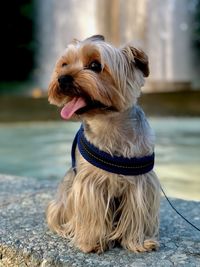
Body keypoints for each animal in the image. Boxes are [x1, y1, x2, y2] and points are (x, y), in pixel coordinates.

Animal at [46, 34, 160, 253]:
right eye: (64, 64)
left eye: (95, 65)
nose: (62, 79)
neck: (109, 122)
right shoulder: (90, 184)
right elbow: (92, 213)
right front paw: (92, 242)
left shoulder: (140, 184)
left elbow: (136, 215)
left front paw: (137, 242)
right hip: (64, 196)